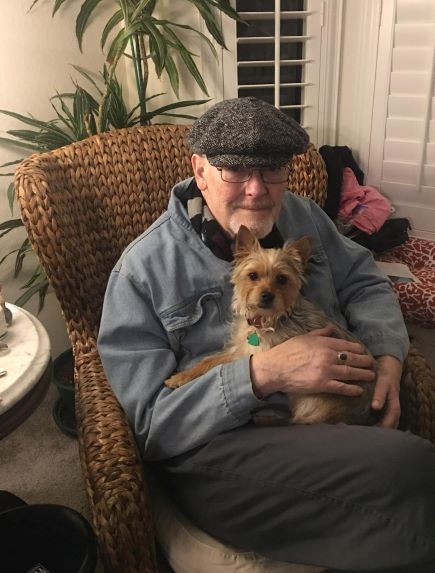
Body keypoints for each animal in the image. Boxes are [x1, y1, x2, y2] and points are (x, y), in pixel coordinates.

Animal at [165, 225, 380, 424]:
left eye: (282, 279)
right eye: (253, 276)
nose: (267, 295)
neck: (264, 320)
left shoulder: (256, 354)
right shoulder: (241, 351)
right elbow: (208, 361)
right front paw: (180, 377)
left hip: (310, 399)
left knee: (297, 421)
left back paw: (265, 419)